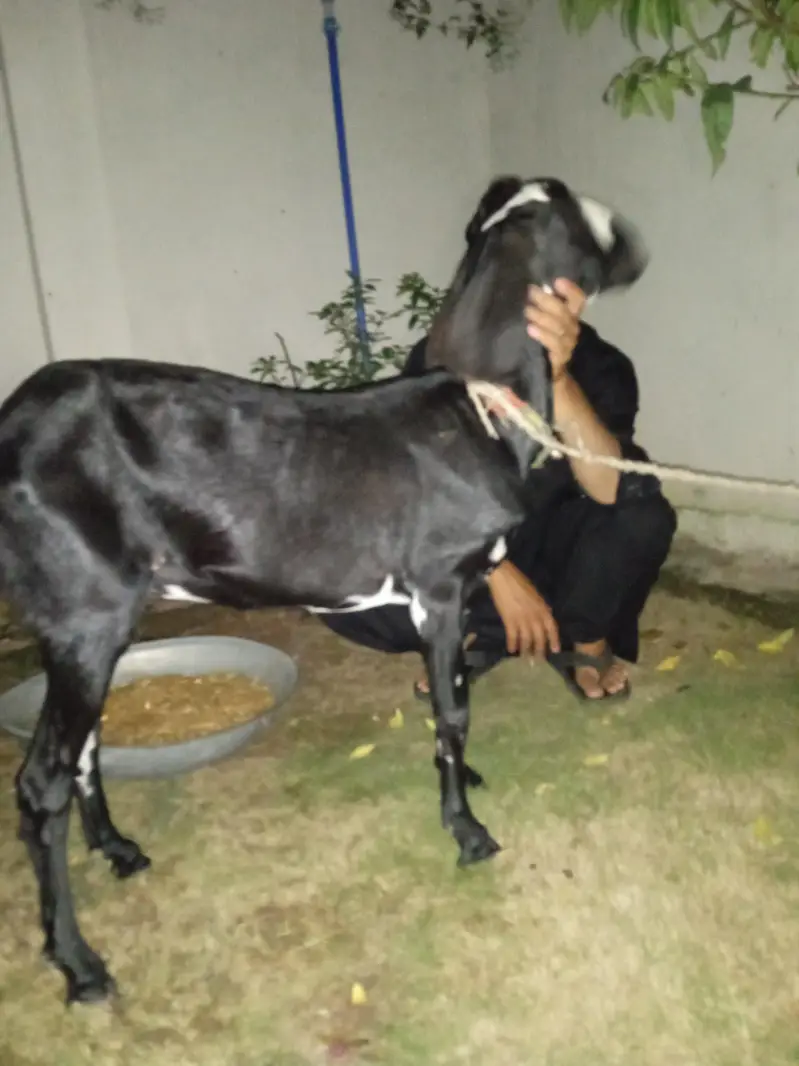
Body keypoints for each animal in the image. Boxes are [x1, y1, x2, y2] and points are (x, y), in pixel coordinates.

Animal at [0, 175, 647, 1005]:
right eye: (582, 218)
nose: (637, 248)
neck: (482, 410)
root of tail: (14, 425)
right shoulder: (439, 583)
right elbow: (454, 708)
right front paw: (468, 831)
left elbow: (456, 688)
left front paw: (462, 778)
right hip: (87, 608)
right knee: (41, 779)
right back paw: (82, 967)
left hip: (90, 620)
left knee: (84, 745)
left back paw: (117, 849)